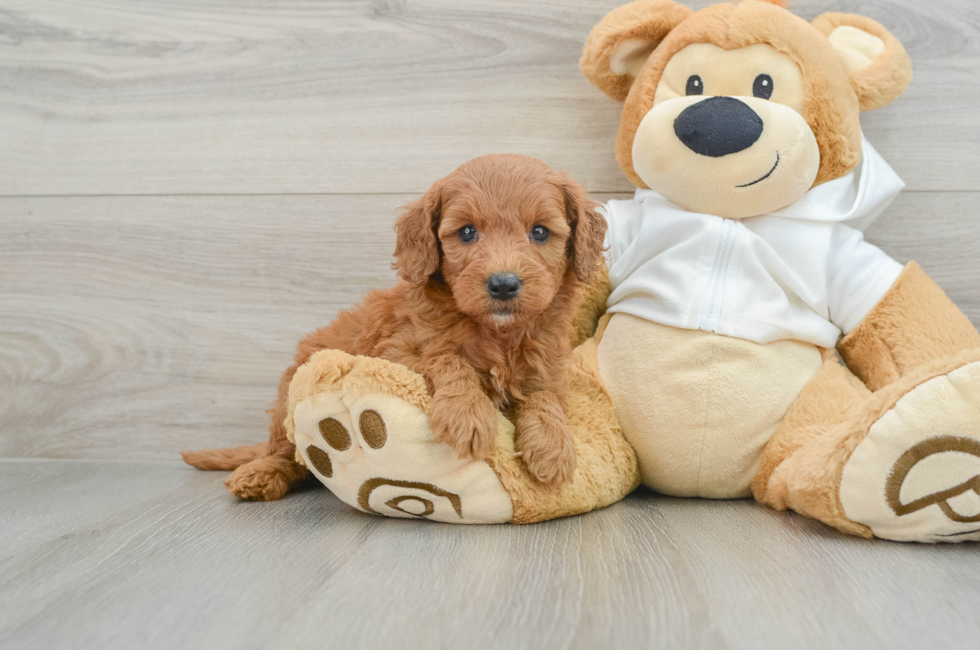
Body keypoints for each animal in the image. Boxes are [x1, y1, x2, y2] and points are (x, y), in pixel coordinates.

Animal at [183, 154, 604, 498]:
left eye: (540, 232)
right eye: (467, 232)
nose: (503, 284)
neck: (496, 332)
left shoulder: (545, 367)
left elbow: (545, 398)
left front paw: (553, 447)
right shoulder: (398, 354)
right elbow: (448, 359)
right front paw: (468, 415)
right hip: (289, 395)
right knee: (288, 453)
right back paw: (259, 473)